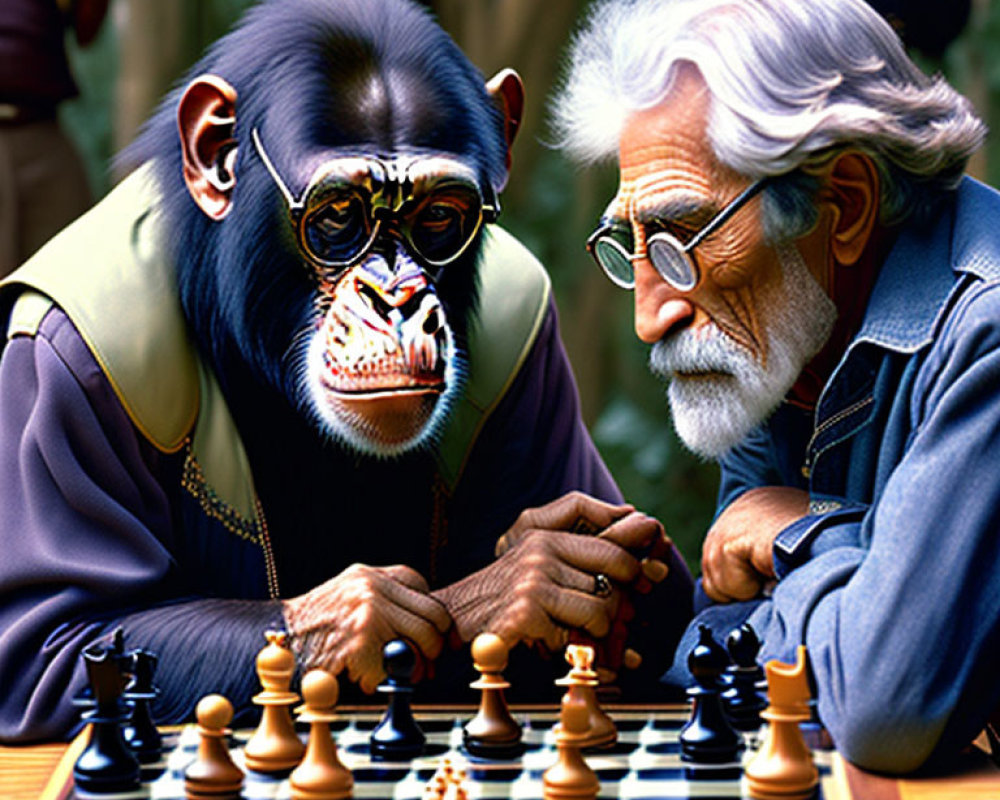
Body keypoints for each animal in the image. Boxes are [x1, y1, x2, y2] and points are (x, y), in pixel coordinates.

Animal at [0, 0, 688, 740]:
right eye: (338, 216)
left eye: (439, 217)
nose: (395, 297)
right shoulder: (66, 370)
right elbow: (63, 641)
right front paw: (496, 589)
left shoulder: (531, 345)